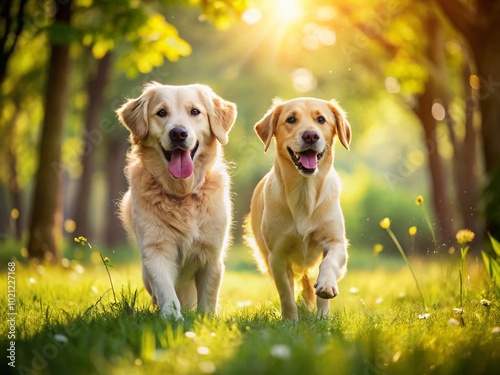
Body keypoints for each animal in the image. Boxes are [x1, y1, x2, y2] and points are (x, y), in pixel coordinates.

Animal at [117, 82, 236, 320]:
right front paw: (172, 319)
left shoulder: (211, 253)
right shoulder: (156, 249)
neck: (183, 194)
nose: (178, 133)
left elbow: (209, 294)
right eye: (161, 113)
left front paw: (207, 320)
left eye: (195, 111)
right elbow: (165, 290)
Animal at [244, 97, 350, 320]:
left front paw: (323, 312)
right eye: (291, 119)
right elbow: (286, 292)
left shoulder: (336, 242)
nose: (310, 135)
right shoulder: (277, 255)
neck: (304, 192)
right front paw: (291, 320)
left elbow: (328, 264)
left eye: (321, 119)